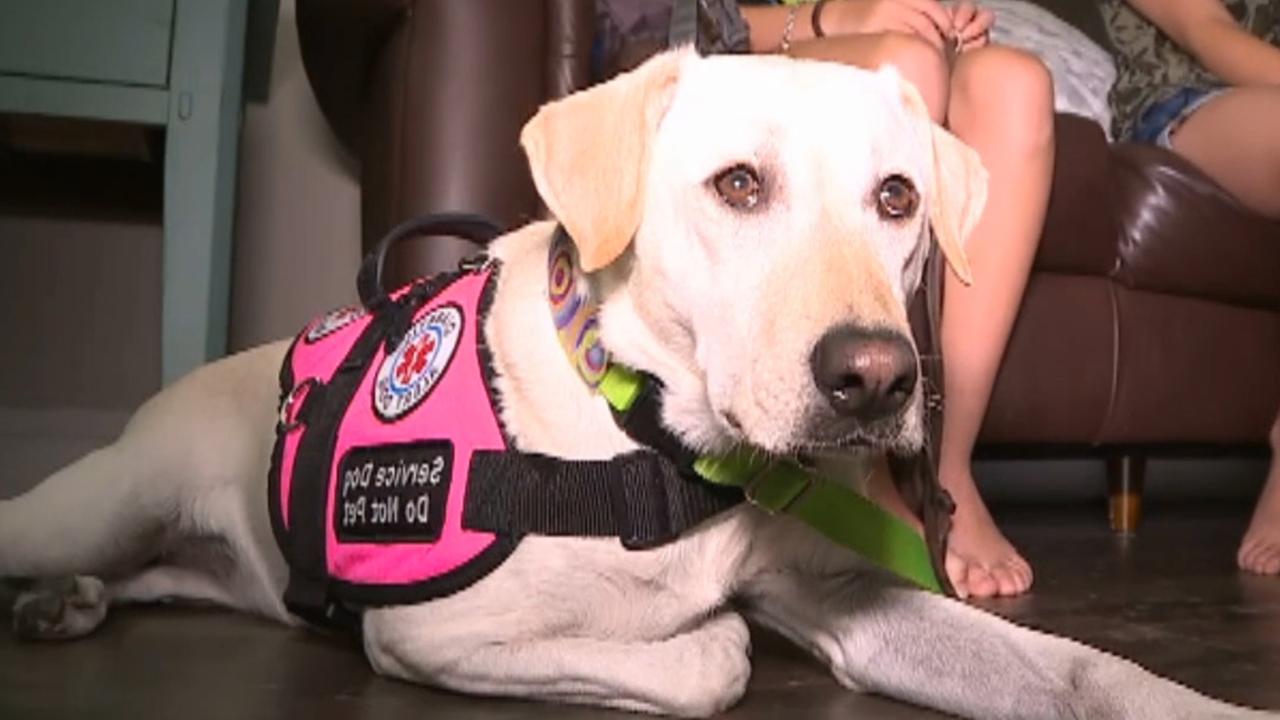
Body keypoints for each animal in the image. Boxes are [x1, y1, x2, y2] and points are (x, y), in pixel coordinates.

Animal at [0, 51, 1269, 717]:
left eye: (898, 198)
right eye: (738, 184)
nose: (874, 379)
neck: (657, 440)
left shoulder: (844, 592)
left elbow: (1082, 669)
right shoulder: (433, 631)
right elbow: (713, 655)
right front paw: (701, 629)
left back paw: (67, 605)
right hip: (99, 500)